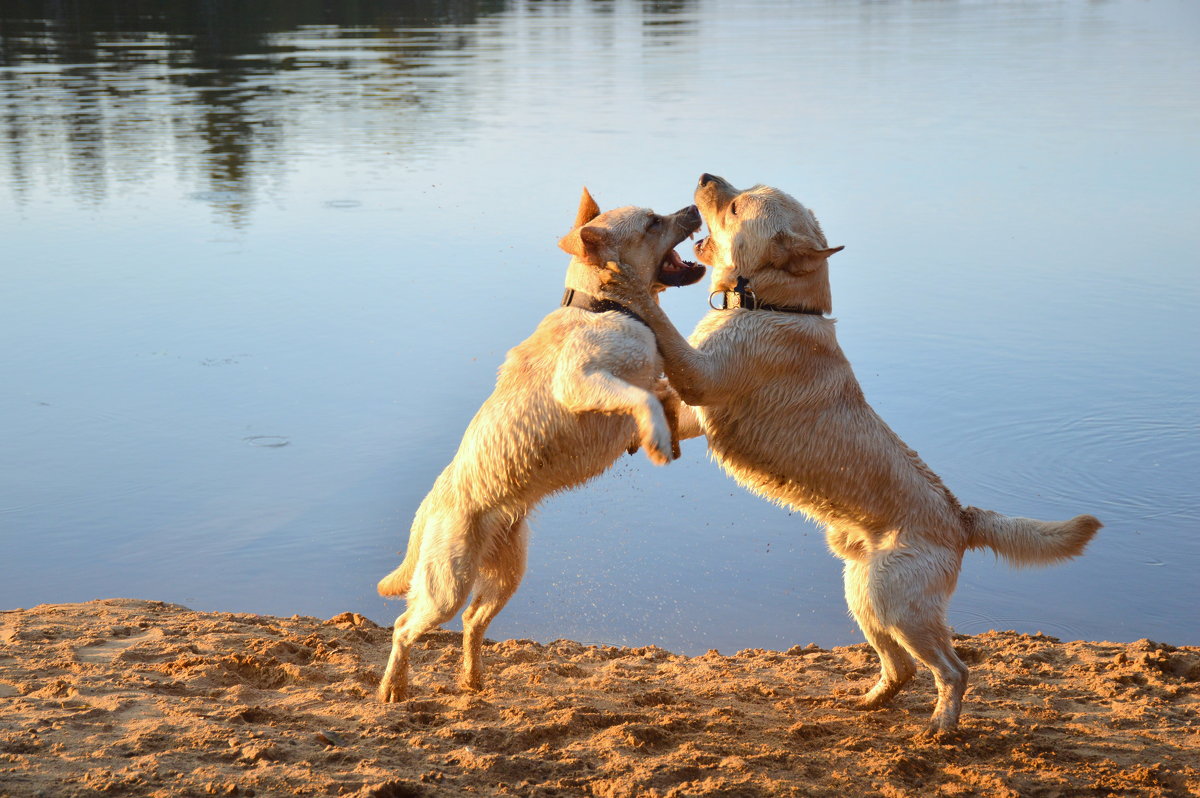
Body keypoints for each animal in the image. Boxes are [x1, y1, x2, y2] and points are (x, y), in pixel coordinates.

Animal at [374, 187, 705, 696]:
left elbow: (668, 399)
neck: (603, 306)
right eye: (652, 222)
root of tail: (430, 503)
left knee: (472, 620)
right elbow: (642, 398)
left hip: (507, 571)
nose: (692, 207)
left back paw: (473, 680)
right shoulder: (579, 381)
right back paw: (394, 687)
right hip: (447, 583)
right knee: (405, 626)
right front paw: (656, 440)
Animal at [604, 174, 1099, 734]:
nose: (706, 175)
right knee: (903, 667)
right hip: (865, 597)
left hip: (898, 605)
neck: (772, 307)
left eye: (734, 206)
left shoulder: (703, 378)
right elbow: (666, 402)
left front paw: (628, 285)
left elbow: (663, 329)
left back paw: (941, 726)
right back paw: (870, 702)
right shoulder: (698, 403)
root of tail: (962, 518)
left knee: (953, 669)